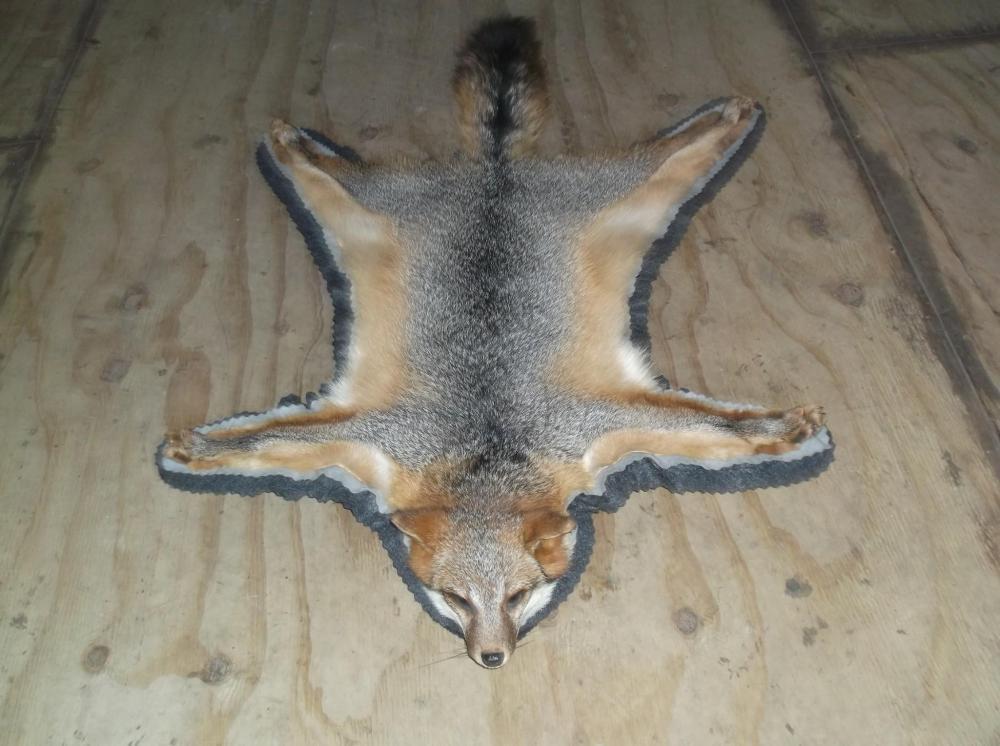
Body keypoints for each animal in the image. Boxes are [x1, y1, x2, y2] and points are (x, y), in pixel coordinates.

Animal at [161, 17, 827, 668]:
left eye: (519, 595)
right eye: (454, 598)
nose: (492, 657)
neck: (486, 451)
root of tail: (495, 173)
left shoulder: (598, 427)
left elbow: (722, 429)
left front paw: (785, 427)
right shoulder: (373, 439)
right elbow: (265, 440)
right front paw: (198, 446)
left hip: (629, 197)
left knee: (673, 149)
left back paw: (728, 117)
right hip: (363, 216)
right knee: (329, 172)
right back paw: (291, 143)